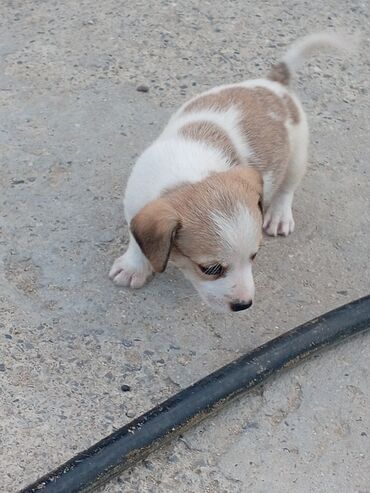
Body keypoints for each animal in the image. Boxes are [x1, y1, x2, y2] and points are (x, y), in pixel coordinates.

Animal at [110, 33, 350, 312]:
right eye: (210, 269)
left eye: (254, 256)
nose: (244, 305)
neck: (190, 173)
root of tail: (272, 83)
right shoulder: (136, 203)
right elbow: (136, 239)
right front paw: (133, 266)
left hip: (297, 155)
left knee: (287, 189)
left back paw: (279, 215)